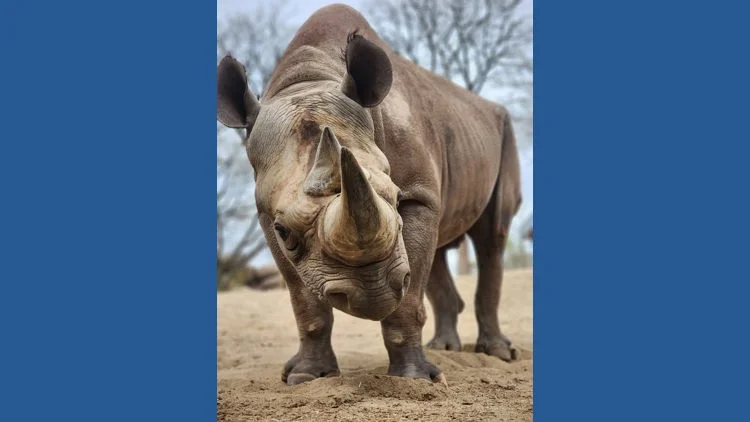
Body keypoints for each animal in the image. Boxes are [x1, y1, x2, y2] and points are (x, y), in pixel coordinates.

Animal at [216, 4, 523, 385]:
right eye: (284, 231)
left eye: (396, 200)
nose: (370, 294)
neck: (310, 79)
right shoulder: (265, 214)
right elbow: (304, 301)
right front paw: (306, 376)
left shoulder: (416, 194)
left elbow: (409, 295)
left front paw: (415, 380)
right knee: (440, 249)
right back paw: (444, 349)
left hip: (503, 132)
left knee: (491, 236)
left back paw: (498, 354)